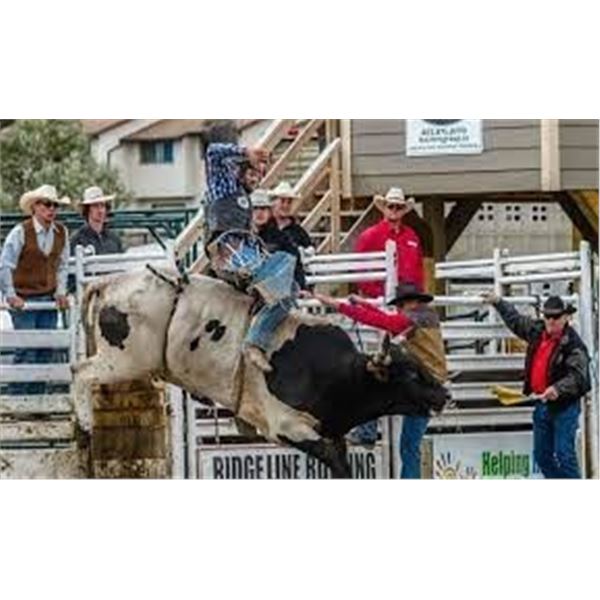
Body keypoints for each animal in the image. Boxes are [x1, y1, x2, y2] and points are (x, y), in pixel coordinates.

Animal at [74, 268, 450, 478]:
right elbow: (337, 465)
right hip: (123, 360)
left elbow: (341, 464)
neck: (337, 374)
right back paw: (85, 423)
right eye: (410, 374)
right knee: (80, 372)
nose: (445, 393)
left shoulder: (332, 432)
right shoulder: (286, 426)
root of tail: (110, 282)